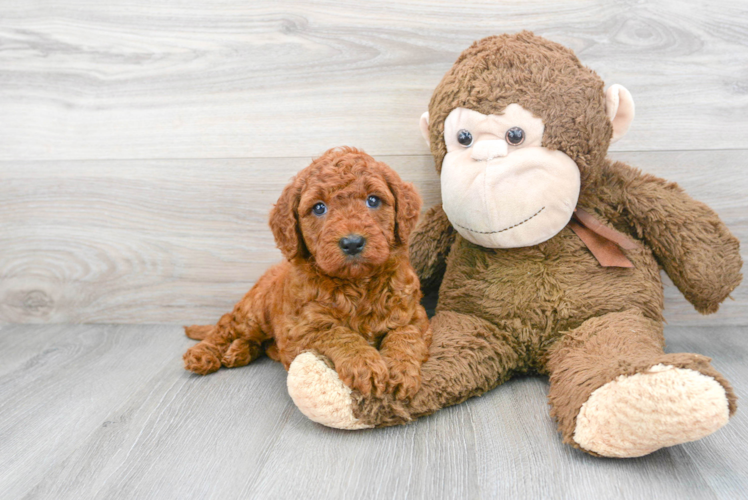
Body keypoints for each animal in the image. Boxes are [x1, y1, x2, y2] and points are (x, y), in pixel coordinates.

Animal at [183, 146, 432, 400]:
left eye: (373, 200)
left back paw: (238, 351)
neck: (357, 283)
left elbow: (405, 334)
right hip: (254, 312)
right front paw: (365, 365)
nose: (352, 243)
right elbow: (339, 333)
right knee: (225, 325)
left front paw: (401, 371)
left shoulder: (415, 314)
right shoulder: (301, 329)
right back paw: (203, 354)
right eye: (319, 207)